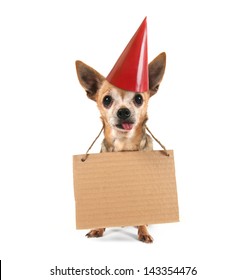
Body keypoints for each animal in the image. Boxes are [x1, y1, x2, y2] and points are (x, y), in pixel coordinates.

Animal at [75, 52, 166, 243]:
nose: (123, 111)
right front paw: (98, 228)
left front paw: (143, 231)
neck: (124, 146)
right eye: (106, 100)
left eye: (139, 99)